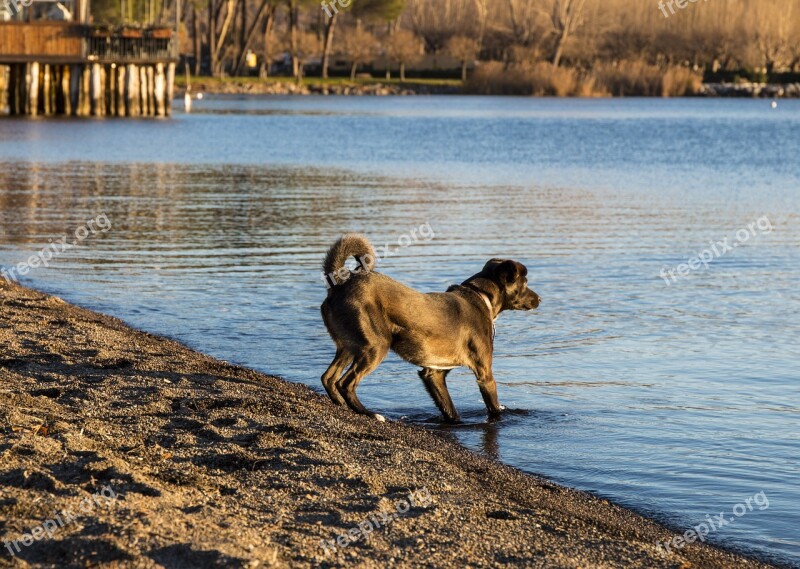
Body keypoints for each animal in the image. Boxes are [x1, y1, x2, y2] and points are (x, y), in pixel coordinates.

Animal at [318, 232, 536, 422]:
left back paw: (343, 406)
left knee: (328, 378)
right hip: (376, 346)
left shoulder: (433, 373)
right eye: (525, 283)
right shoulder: (484, 373)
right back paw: (370, 414)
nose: (539, 299)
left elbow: (449, 409)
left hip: (349, 346)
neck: (481, 296)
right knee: (345, 383)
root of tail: (340, 283)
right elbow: (494, 407)